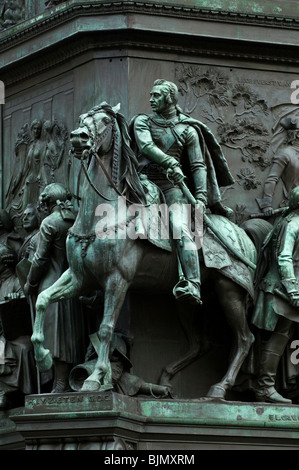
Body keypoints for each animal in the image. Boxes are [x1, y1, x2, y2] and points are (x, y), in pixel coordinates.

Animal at [31, 101, 268, 398]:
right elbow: (42, 300)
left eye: (105, 120)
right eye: (83, 117)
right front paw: (42, 358)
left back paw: (219, 388)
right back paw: (166, 380)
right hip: (186, 300)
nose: (78, 138)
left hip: (230, 292)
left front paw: (95, 378)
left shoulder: (117, 280)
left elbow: (106, 328)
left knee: (245, 339)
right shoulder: (79, 277)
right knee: (200, 342)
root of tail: (242, 233)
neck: (102, 214)